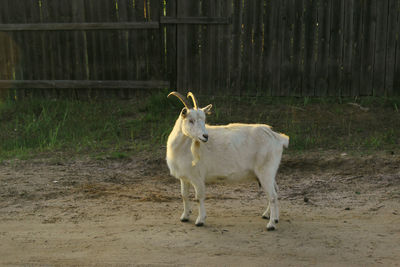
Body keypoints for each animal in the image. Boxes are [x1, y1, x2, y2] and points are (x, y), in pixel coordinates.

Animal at [164, 91, 290, 230]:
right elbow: (184, 195)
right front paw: (185, 217)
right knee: (275, 191)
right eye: (190, 120)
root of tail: (277, 137)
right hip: (269, 172)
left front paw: (200, 220)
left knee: (272, 195)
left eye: (204, 120)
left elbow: (199, 197)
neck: (184, 147)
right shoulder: (184, 177)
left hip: (265, 171)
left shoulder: (197, 177)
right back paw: (270, 216)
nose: (205, 136)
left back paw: (271, 224)